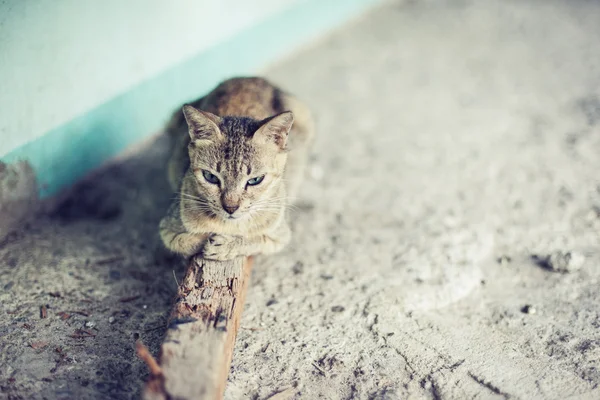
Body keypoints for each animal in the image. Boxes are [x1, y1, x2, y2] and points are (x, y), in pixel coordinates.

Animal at [159, 76, 316, 260]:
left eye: (255, 180)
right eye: (210, 177)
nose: (230, 208)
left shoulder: (280, 235)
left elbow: (255, 240)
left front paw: (228, 245)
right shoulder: (167, 228)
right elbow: (184, 241)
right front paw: (204, 240)